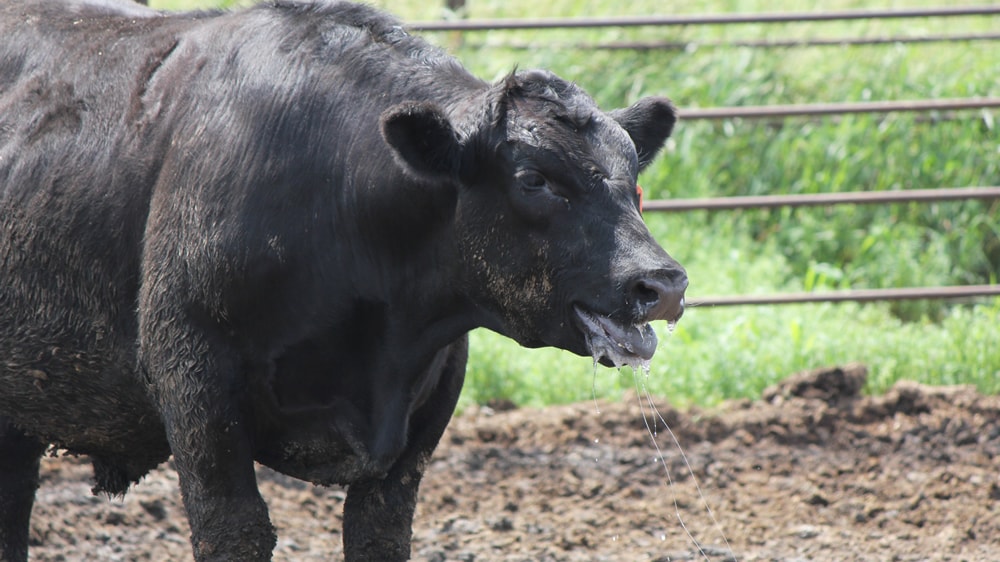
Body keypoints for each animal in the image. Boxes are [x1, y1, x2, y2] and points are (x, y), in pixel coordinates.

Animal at [0, 1, 688, 560]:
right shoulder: (192, 376)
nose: (662, 283)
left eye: (634, 179)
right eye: (534, 179)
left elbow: (380, 533)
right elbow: (236, 531)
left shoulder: (428, 404)